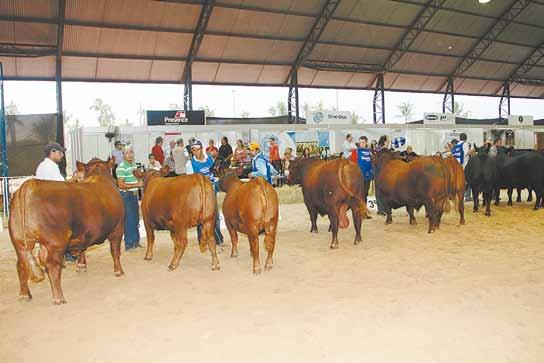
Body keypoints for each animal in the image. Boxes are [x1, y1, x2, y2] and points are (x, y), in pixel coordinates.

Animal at [8, 159, 124, 304]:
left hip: (20, 241)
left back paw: (25, 295)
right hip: (56, 242)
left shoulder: (84, 233)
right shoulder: (118, 228)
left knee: (21, 264)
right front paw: (119, 271)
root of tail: (30, 185)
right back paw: (58, 297)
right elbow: (115, 251)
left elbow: (83, 248)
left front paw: (81, 266)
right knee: (51, 265)